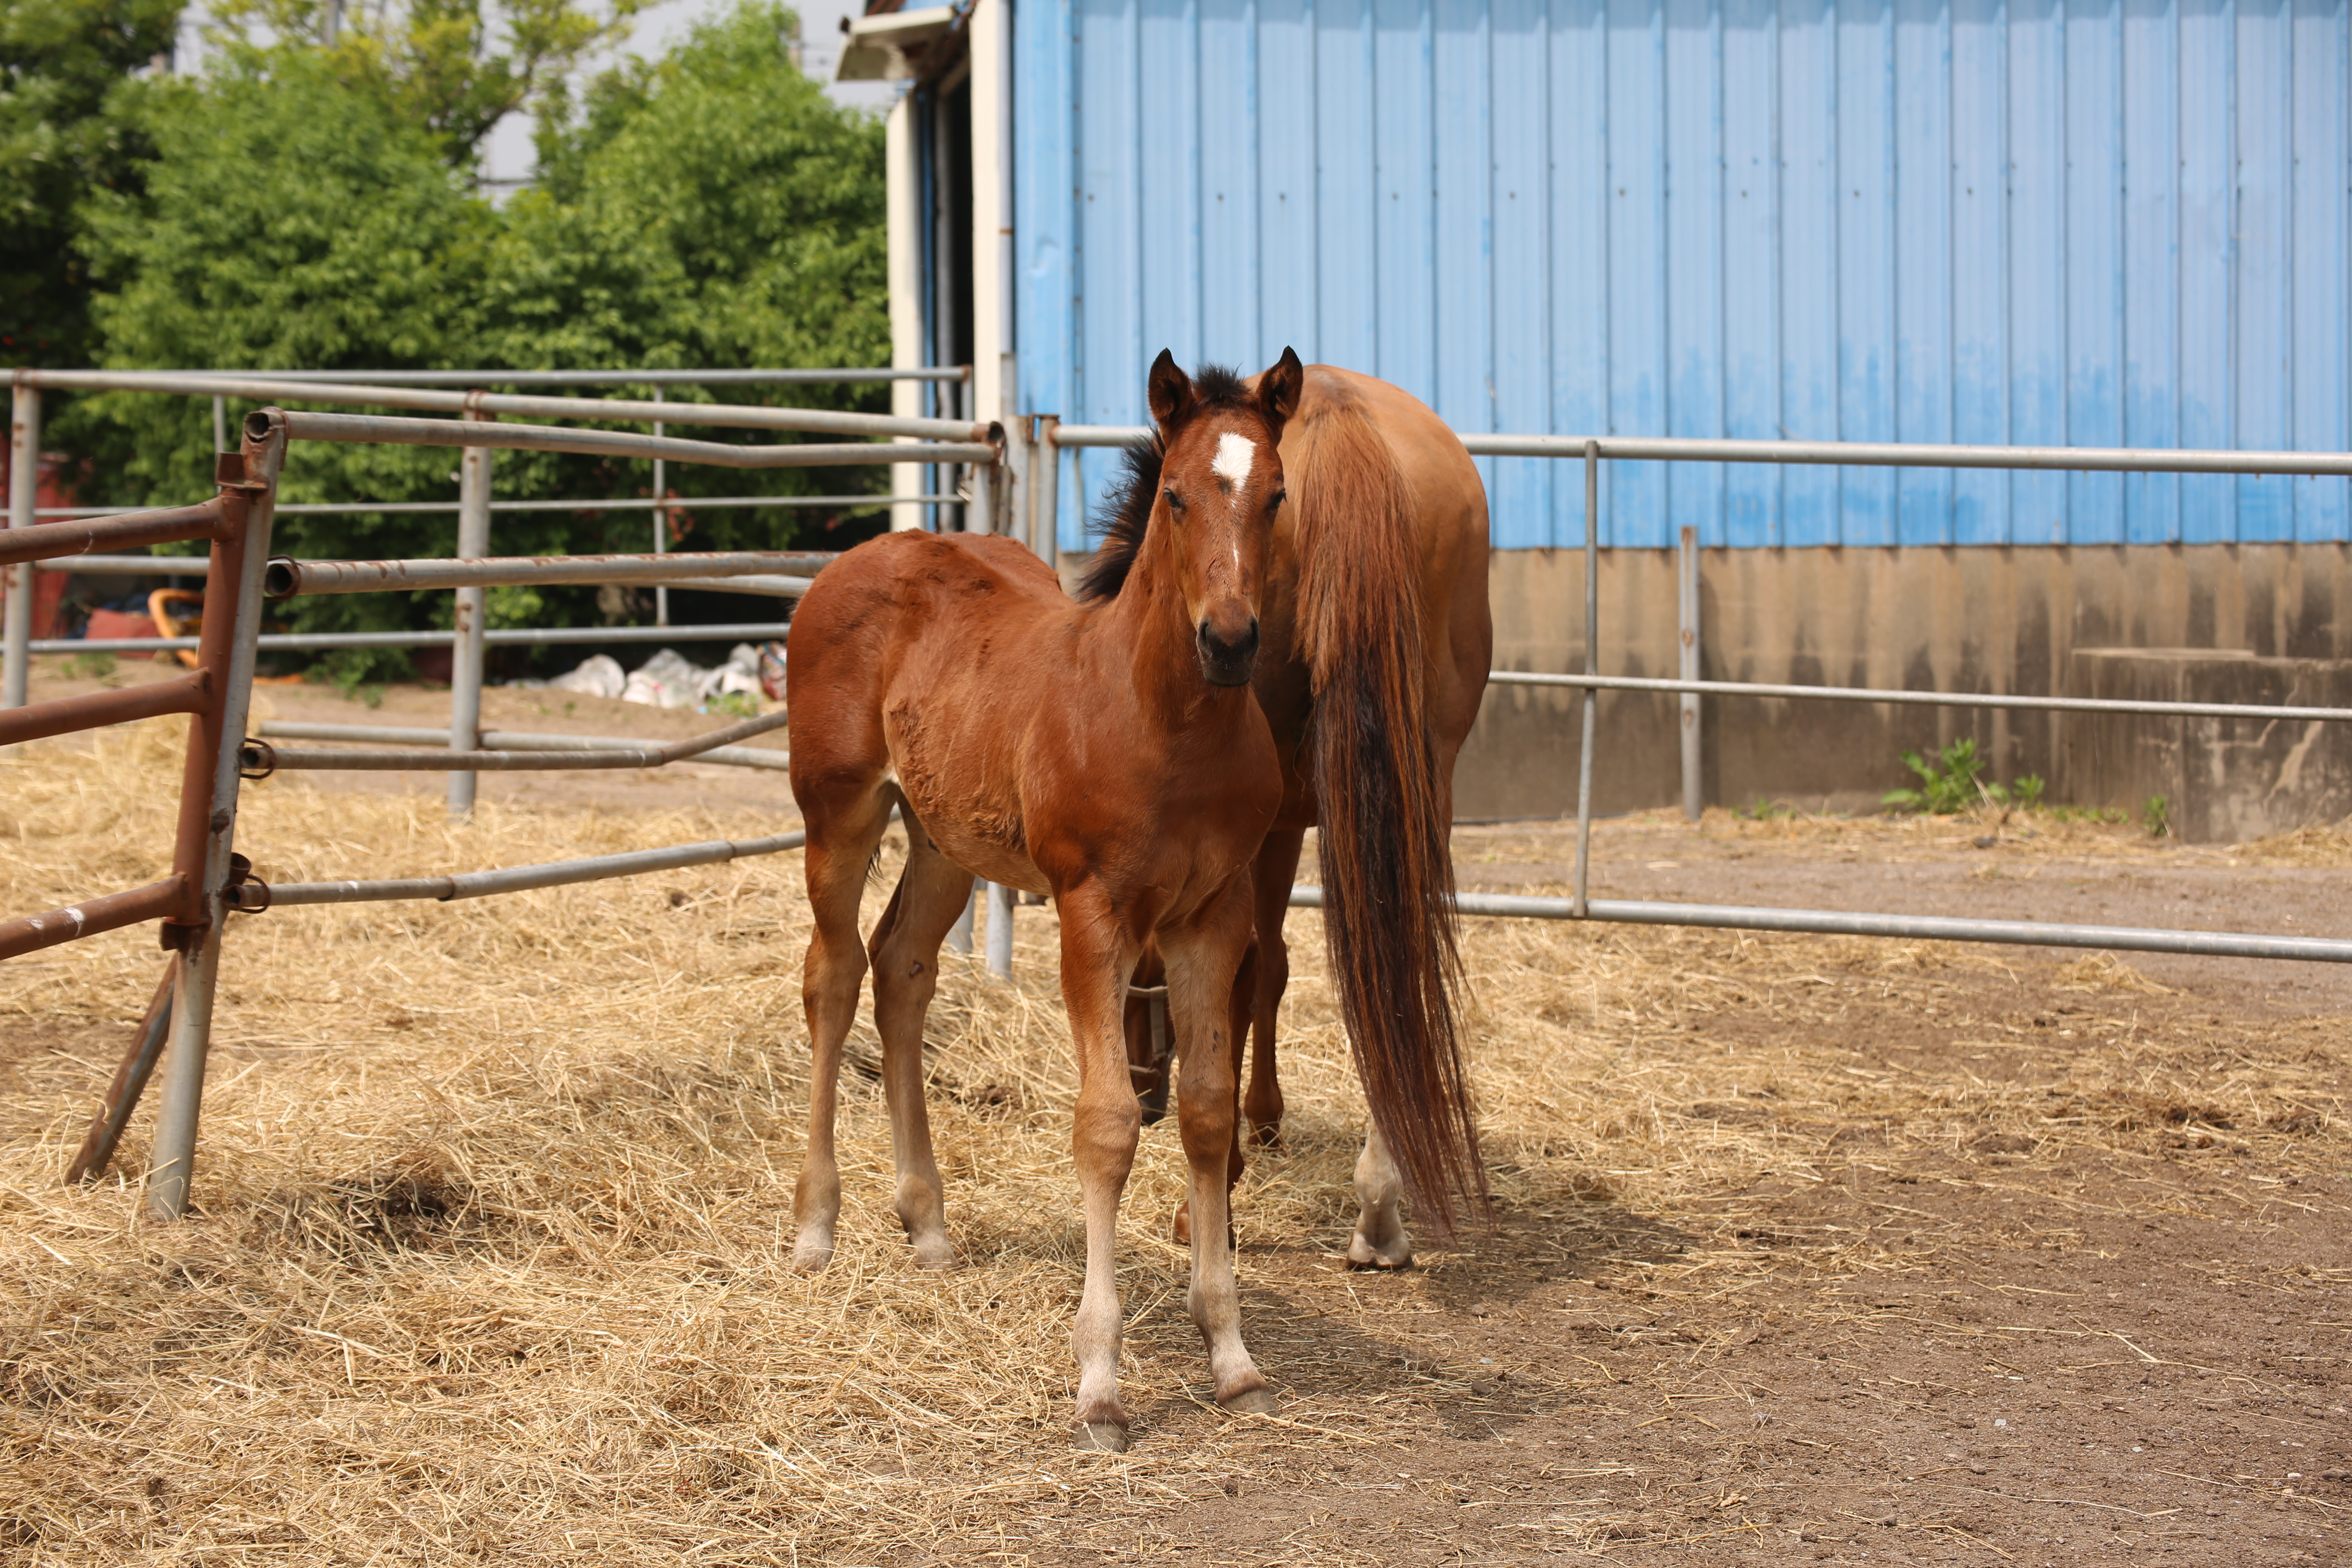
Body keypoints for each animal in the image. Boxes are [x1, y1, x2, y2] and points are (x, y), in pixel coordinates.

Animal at [1100, 362, 1486, 1269]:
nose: (1146, 1091)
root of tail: (1346, 420)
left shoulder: (1254, 828)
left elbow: (1249, 972)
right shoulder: (1292, 821)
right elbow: (1279, 964)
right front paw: (1267, 1118)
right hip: (1421, 785)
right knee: (1399, 955)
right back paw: (1381, 1206)